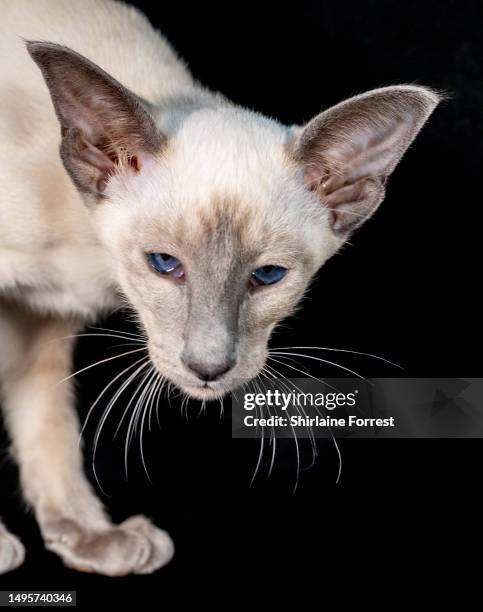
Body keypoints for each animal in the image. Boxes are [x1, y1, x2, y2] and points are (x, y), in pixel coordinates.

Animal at [0, 0, 438, 576]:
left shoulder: (39, 318)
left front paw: (89, 536)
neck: (86, 255)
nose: (208, 369)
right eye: (164, 264)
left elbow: (46, 423)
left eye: (268, 276)